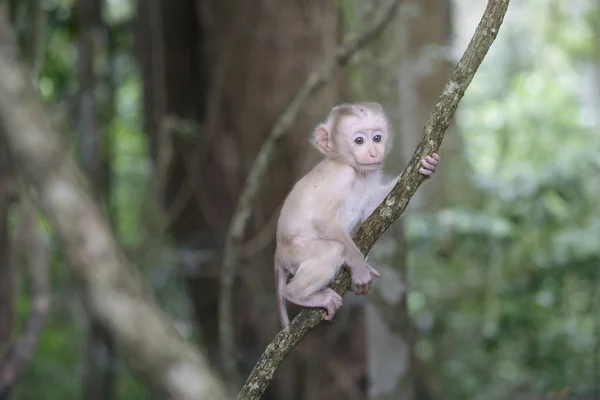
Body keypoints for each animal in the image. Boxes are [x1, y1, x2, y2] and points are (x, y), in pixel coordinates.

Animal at [274, 101, 438, 326]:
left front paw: (428, 168)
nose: (373, 153)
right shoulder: (341, 176)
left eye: (377, 138)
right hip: (295, 251)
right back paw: (295, 294)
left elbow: (377, 208)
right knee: (333, 250)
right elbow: (322, 219)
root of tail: (278, 254)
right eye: (359, 141)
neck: (354, 170)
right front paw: (359, 267)